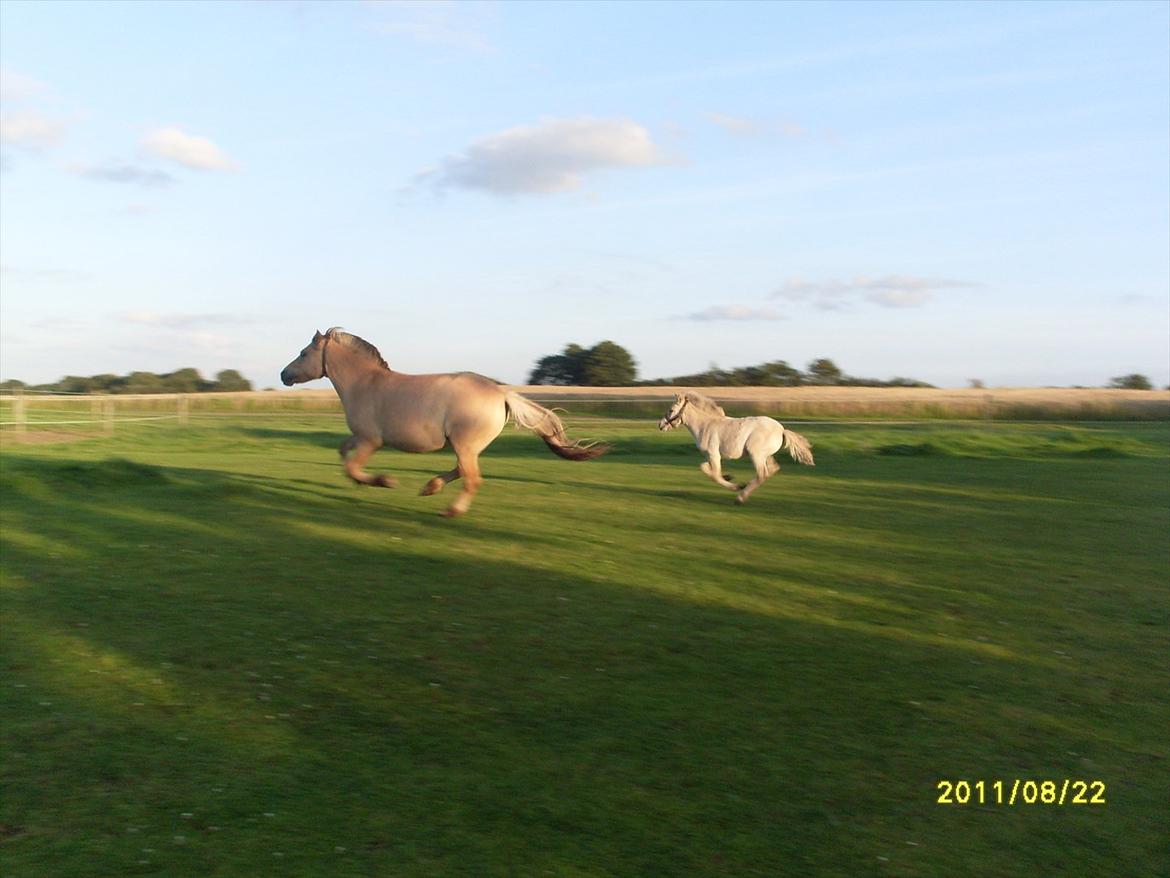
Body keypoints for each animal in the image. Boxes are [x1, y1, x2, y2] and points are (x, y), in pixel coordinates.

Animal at [280, 332, 603, 519]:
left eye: (304, 353)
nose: (284, 375)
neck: (364, 384)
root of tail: (502, 393)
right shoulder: (359, 437)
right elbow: (342, 454)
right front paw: (363, 483)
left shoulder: (371, 440)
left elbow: (351, 466)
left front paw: (385, 481)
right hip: (468, 446)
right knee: (461, 471)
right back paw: (429, 487)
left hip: (465, 445)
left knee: (472, 478)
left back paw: (450, 509)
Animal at [659, 395, 814, 505]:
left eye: (671, 410)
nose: (660, 425)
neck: (705, 425)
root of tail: (782, 430)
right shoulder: (710, 456)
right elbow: (707, 469)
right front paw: (728, 476)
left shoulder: (714, 455)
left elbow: (714, 474)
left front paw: (736, 485)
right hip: (765, 456)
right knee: (772, 469)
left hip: (755, 454)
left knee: (762, 474)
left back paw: (740, 497)